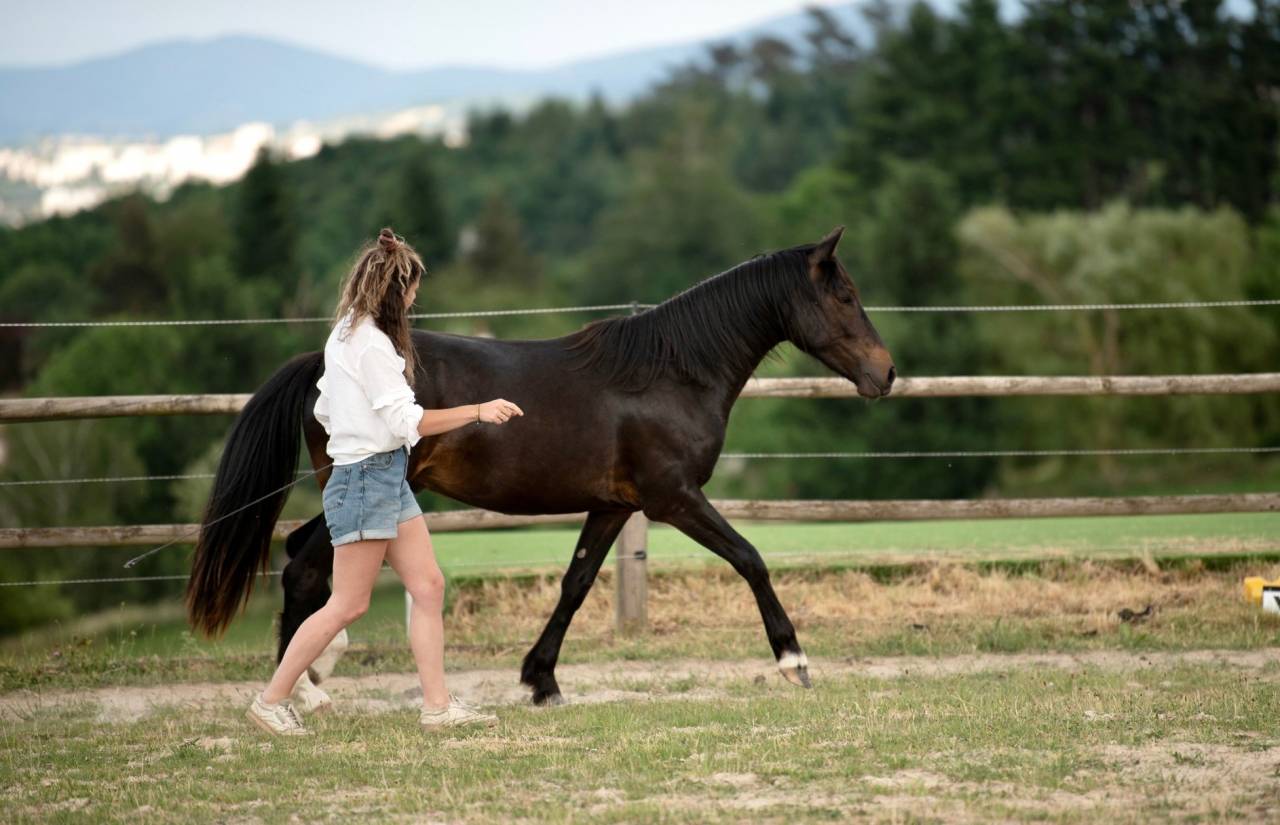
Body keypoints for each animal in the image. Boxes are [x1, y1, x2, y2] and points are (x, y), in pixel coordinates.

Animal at [185, 226, 895, 706]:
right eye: (845, 296)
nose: (885, 373)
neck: (671, 373)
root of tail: (323, 361)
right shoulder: (673, 498)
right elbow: (751, 558)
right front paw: (792, 659)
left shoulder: (614, 505)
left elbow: (575, 584)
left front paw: (541, 678)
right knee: (304, 569)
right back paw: (301, 690)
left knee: (301, 555)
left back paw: (315, 669)